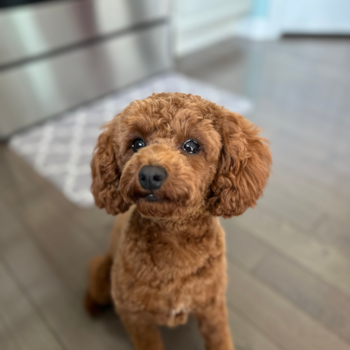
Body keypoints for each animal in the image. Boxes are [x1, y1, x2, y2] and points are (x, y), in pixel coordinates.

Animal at [85, 92, 270, 350]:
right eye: (137, 144)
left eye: (191, 146)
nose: (149, 174)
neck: (174, 236)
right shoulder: (134, 316)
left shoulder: (211, 305)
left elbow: (219, 338)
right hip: (103, 274)